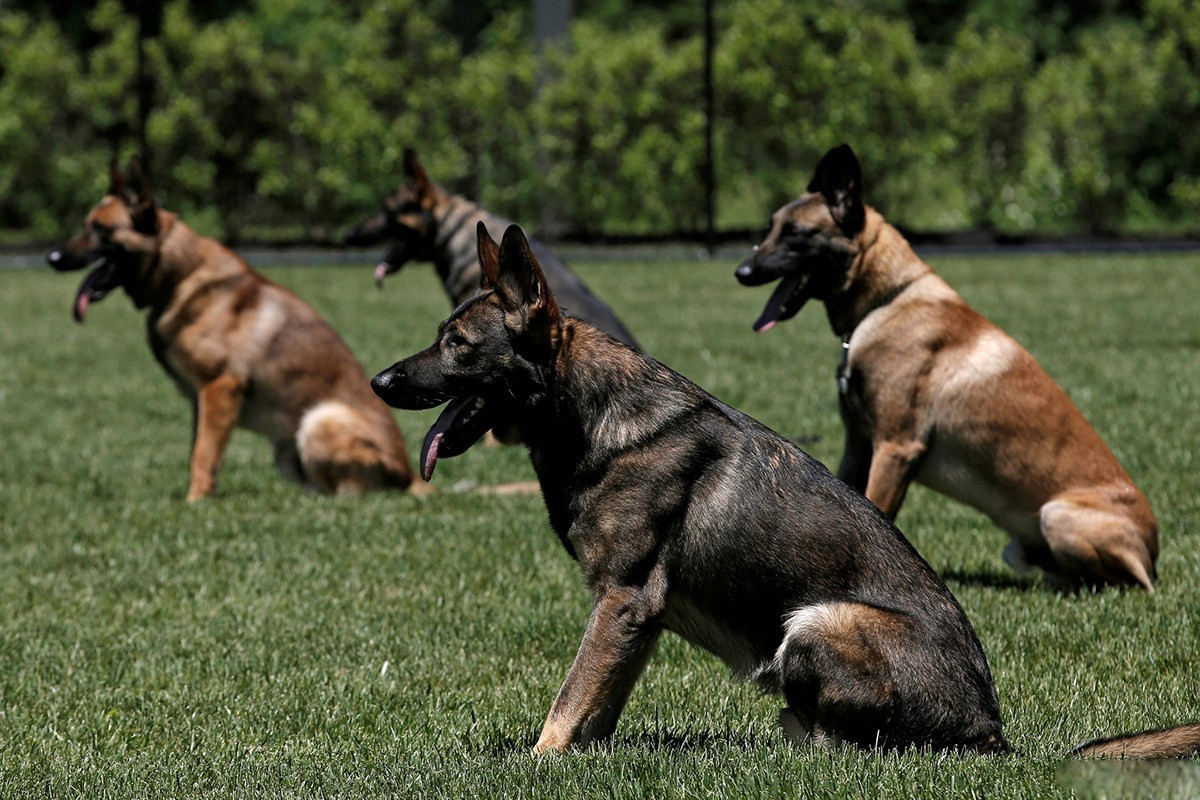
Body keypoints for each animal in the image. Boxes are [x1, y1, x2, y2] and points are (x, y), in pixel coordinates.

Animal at [46, 159, 427, 501]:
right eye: (86, 224)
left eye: (100, 229)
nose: (52, 258)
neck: (180, 275)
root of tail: (410, 473)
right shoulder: (199, 399)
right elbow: (199, 452)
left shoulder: (220, 387)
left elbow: (203, 455)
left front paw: (195, 503)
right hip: (287, 450)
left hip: (319, 421)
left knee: (353, 494)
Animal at [369, 224, 1195, 758]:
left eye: (457, 345)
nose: (378, 381)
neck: (586, 411)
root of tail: (992, 730)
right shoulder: (638, 617)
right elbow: (595, 708)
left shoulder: (623, 599)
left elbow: (567, 702)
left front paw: (538, 767)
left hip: (814, 623)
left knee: (846, 746)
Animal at [734, 145, 1156, 594]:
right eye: (771, 227)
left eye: (796, 233)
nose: (741, 272)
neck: (887, 299)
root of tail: (1154, 553)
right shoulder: (858, 444)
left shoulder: (895, 446)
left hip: (1057, 515)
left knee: (1123, 582)